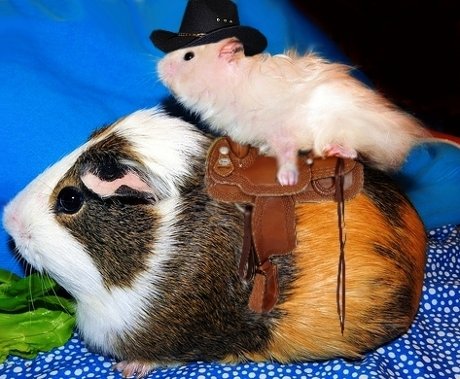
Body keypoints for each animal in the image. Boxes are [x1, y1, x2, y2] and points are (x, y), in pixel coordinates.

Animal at [156, 38, 430, 186]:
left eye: (188, 56)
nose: (158, 66)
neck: (231, 86)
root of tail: (411, 133)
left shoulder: (282, 130)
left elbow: (287, 153)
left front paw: (286, 179)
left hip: (349, 127)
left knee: (354, 151)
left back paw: (333, 150)